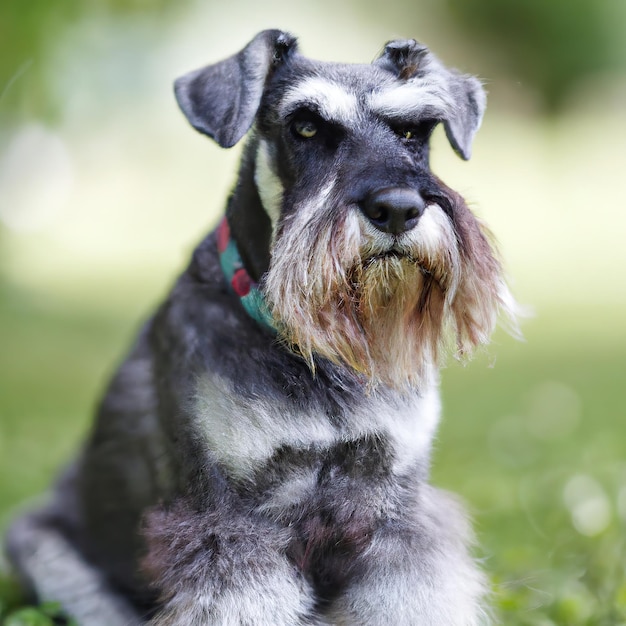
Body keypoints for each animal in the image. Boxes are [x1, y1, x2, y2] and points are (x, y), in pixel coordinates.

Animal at [4, 26, 516, 620]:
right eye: (306, 126)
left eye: (413, 130)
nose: (397, 208)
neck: (317, 350)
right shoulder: (226, 520)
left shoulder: (397, 516)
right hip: (42, 547)